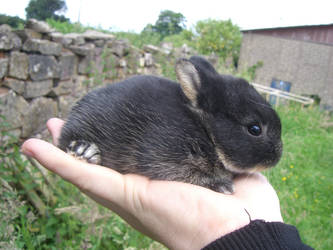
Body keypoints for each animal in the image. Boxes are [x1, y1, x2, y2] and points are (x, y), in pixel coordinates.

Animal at [58, 56, 282, 193]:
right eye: (254, 129)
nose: (277, 157)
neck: (205, 129)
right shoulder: (164, 156)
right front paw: (222, 185)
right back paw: (85, 150)